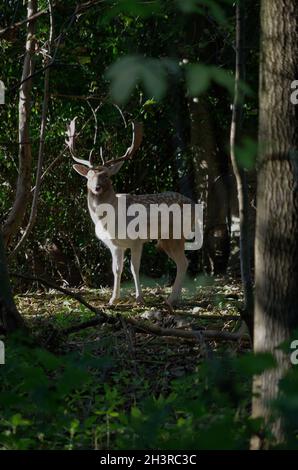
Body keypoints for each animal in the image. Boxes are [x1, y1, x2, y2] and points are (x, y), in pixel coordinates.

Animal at [66, 119, 199, 306]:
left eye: (106, 175)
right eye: (89, 176)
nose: (97, 187)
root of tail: (194, 205)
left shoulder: (137, 240)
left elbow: (134, 268)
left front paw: (139, 298)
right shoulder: (114, 245)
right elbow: (116, 269)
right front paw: (112, 299)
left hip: (176, 234)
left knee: (183, 262)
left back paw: (171, 299)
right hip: (166, 239)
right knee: (183, 262)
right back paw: (175, 297)